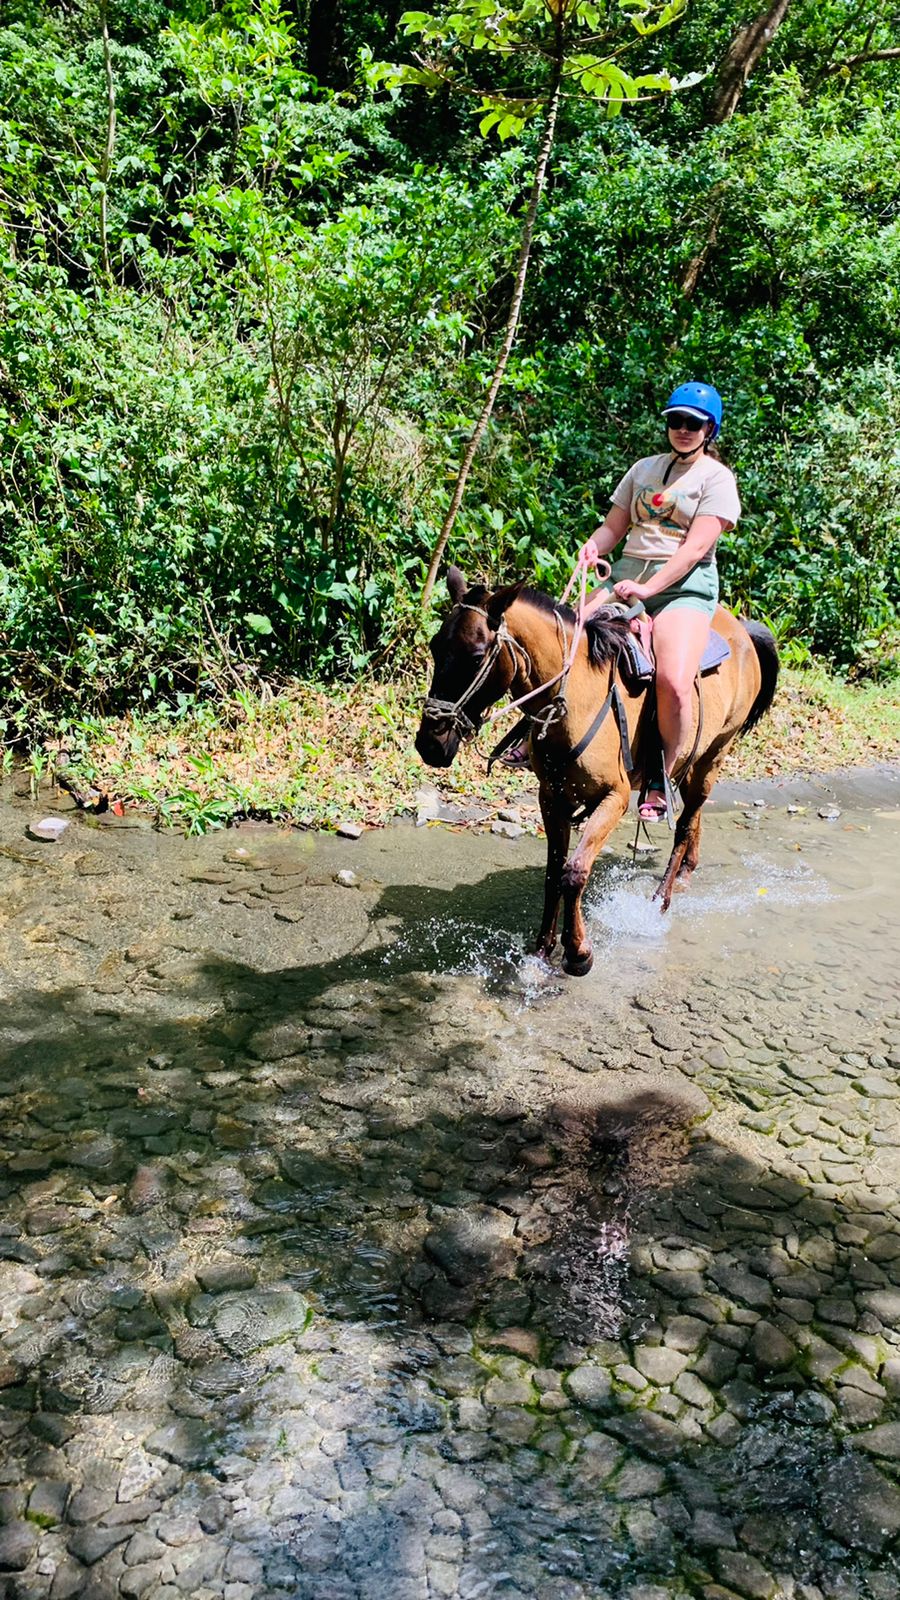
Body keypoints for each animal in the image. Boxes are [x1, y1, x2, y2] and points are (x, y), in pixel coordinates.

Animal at [416, 563, 775, 972]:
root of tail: (742, 630)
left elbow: (574, 873)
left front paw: (578, 952)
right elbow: (554, 872)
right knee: (693, 820)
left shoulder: (614, 799)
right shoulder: (551, 798)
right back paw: (686, 873)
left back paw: (659, 902)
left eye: (477, 656)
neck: (576, 701)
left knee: (684, 827)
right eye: (435, 647)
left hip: (713, 756)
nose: (430, 743)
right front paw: (542, 949)